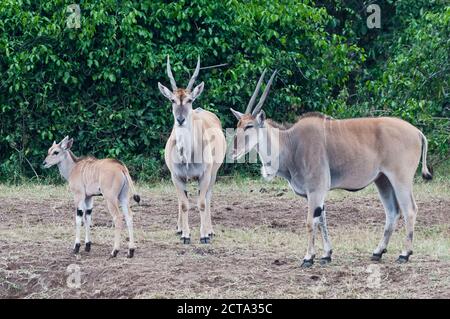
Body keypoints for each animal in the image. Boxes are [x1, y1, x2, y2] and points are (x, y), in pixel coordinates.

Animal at [158, 56, 227, 245]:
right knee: (184, 199)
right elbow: (184, 204)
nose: (180, 120)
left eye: (189, 100)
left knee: (207, 198)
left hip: (213, 173)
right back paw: (179, 228)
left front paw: (203, 236)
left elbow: (202, 203)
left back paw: (210, 231)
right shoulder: (176, 177)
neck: (187, 157)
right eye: (172, 100)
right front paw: (185, 235)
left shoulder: (205, 175)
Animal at [232, 70, 432, 268]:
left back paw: (404, 254)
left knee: (410, 209)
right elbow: (322, 220)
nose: (233, 151)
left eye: (249, 126)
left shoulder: (316, 190)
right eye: (238, 125)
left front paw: (308, 258)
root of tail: (417, 132)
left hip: (400, 179)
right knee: (392, 212)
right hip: (383, 180)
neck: (291, 143)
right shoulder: (315, 194)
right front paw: (326, 255)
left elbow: (310, 222)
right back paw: (377, 252)